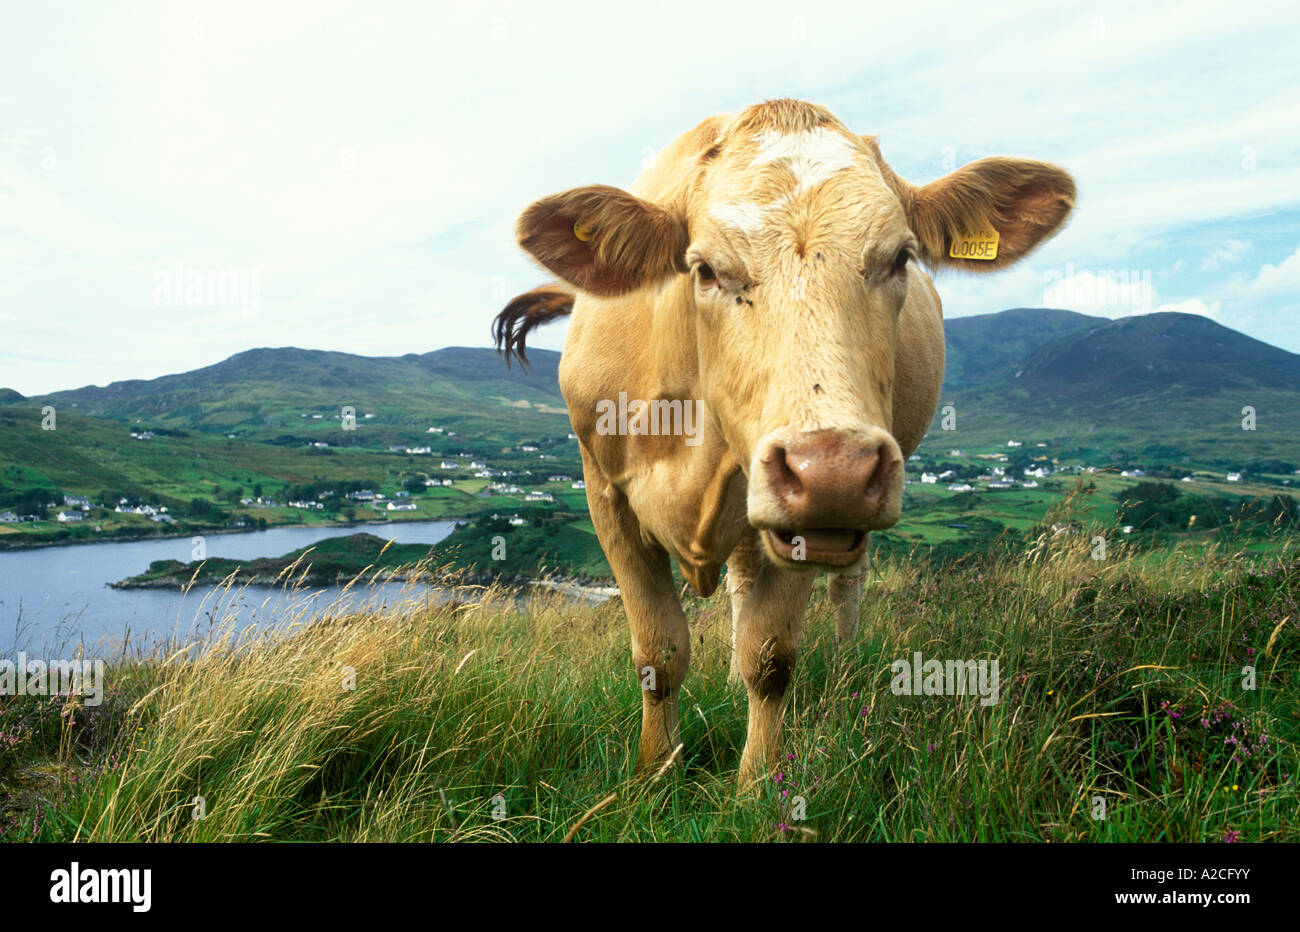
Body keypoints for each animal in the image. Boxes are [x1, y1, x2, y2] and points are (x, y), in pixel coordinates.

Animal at [491, 100, 1071, 785]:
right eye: (705, 268)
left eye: (900, 258)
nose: (832, 470)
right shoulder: (604, 492)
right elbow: (658, 650)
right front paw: (656, 771)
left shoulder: (809, 524)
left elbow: (769, 659)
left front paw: (758, 784)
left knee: (845, 587)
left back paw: (845, 668)